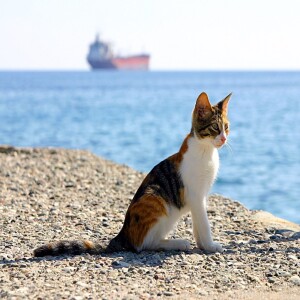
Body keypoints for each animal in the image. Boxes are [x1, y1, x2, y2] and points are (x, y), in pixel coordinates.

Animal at [34, 91, 232, 255]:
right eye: (215, 127)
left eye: (227, 127)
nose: (224, 138)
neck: (206, 151)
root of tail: (123, 234)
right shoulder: (195, 194)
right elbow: (204, 223)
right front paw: (210, 246)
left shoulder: (201, 196)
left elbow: (199, 223)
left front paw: (202, 244)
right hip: (155, 197)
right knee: (142, 244)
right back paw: (178, 243)